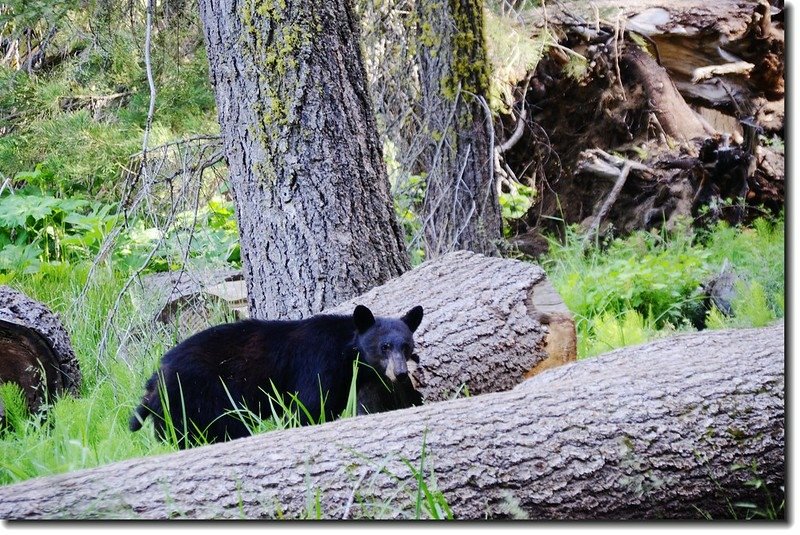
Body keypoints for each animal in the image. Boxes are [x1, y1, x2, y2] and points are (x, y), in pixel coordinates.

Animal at [130, 306, 424, 448]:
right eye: (384, 346)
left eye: (406, 346)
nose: (400, 373)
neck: (346, 352)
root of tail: (155, 380)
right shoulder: (316, 365)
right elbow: (309, 407)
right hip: (199, 398)